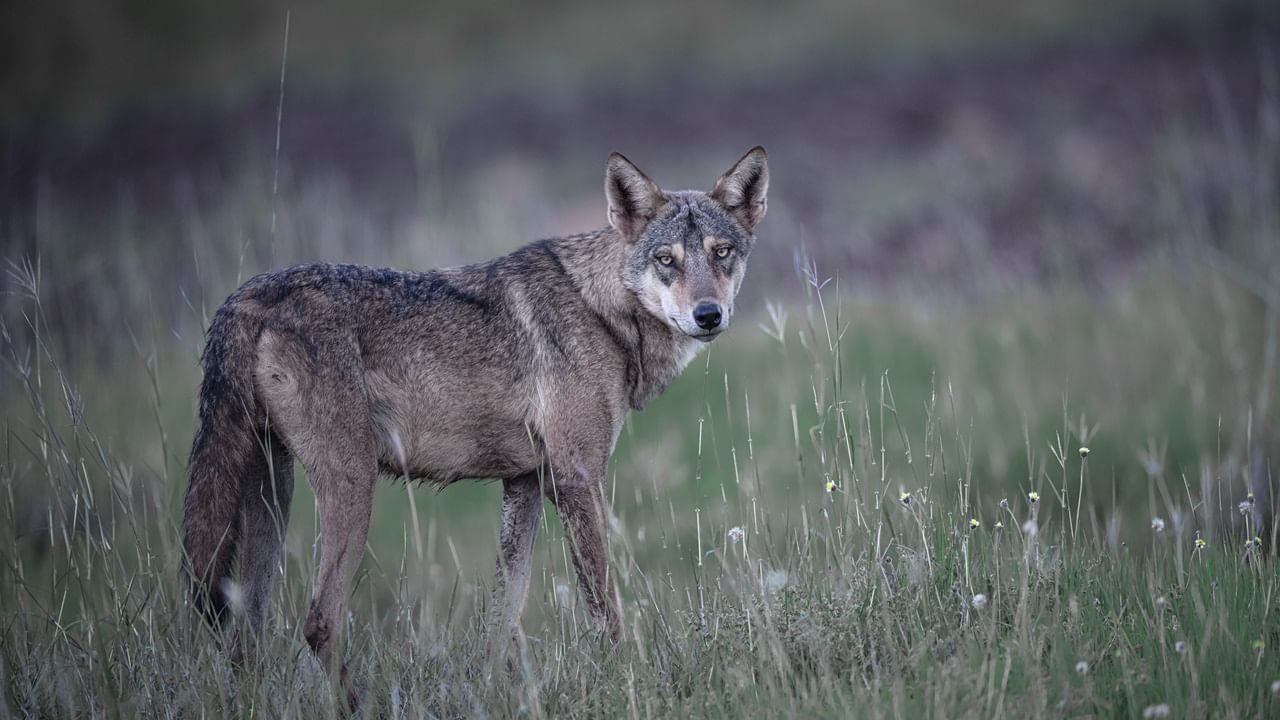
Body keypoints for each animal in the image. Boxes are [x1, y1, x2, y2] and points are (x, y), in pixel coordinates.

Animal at [181, 146, 769, 681]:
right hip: (351, 486)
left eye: (721, 253)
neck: (600, 309)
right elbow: (605, 610)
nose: (708, 314)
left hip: (273, 495)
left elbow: (501, 619)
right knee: (319, 623)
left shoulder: (526, 484)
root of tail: (245, 297)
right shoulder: (577, 478)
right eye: (666, 260)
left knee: (246, 636)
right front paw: (624, 678)